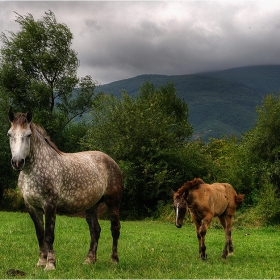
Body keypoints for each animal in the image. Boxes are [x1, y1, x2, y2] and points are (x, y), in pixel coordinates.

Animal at [6, 109, 121, 270]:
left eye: (28, 135)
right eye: (9, 134)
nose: (17, 162)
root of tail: (110, 160)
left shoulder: (49, 205)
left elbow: (49, 235)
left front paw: (50, 264)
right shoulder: (31, 207)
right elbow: (40, 234)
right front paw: (41, 262)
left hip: (113, 202)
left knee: (115, 228)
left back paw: (114, 260)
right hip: (91, 206)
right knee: (95, 231)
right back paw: (89, 260)